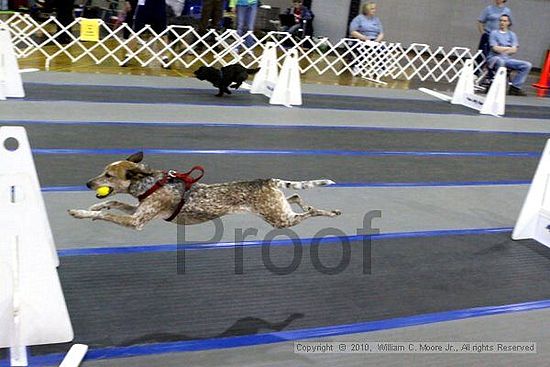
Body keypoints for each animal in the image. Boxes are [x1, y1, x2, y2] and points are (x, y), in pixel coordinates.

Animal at [68, 152, 340, 230]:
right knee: (295, 195)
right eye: (103, 171)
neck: (152, 183)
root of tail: (269, 180)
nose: (88, 183)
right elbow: (112, 204)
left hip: (279, 219)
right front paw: (94, 206)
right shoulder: (138, 210)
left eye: (108, 176)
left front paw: (82, 213)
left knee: (310, 212)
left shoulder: (137, 221)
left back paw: (329, 212)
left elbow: (108, 213)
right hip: (278, 210)